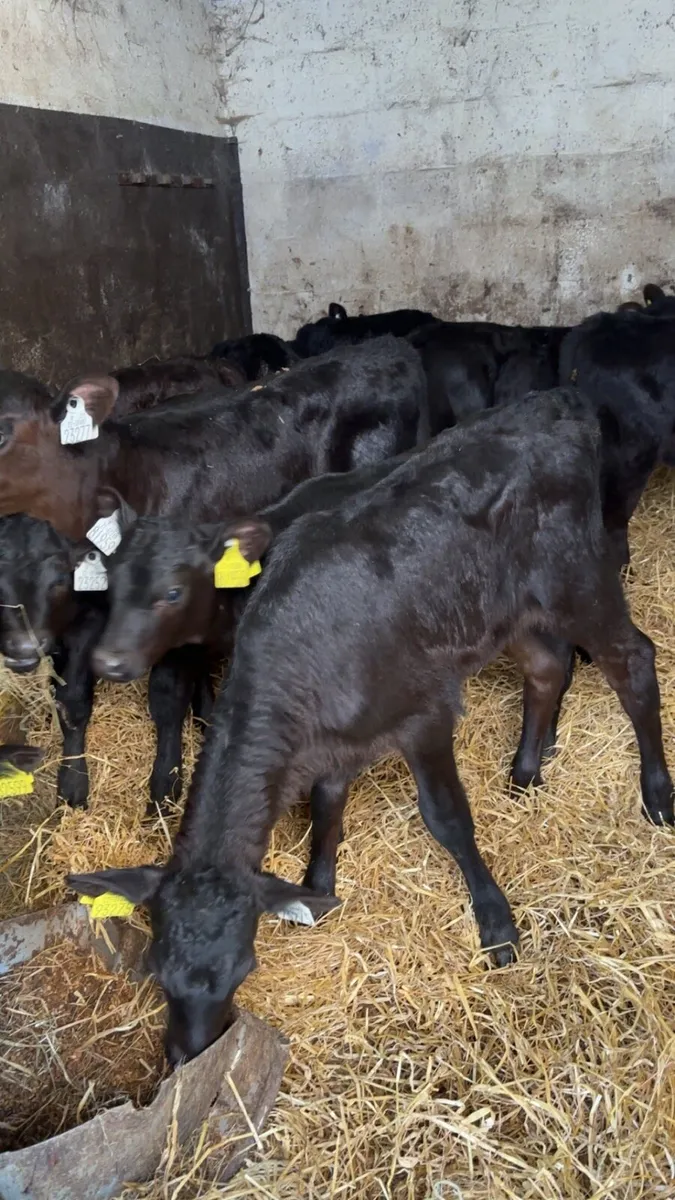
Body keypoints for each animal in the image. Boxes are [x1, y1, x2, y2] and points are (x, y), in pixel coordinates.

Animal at [68, 387, 674, 1065]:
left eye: (243, 968)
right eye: (156, 969)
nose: (188, 1056)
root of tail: (555, 403)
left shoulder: (424, 713)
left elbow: (447, 819)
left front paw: (496, 923)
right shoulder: (331, 741)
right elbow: (327, 805)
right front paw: (318, 889)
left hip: (578, 578)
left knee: (633, 662)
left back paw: (656, 795)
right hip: (505, 612)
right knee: (545, 670)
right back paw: (524, 775)